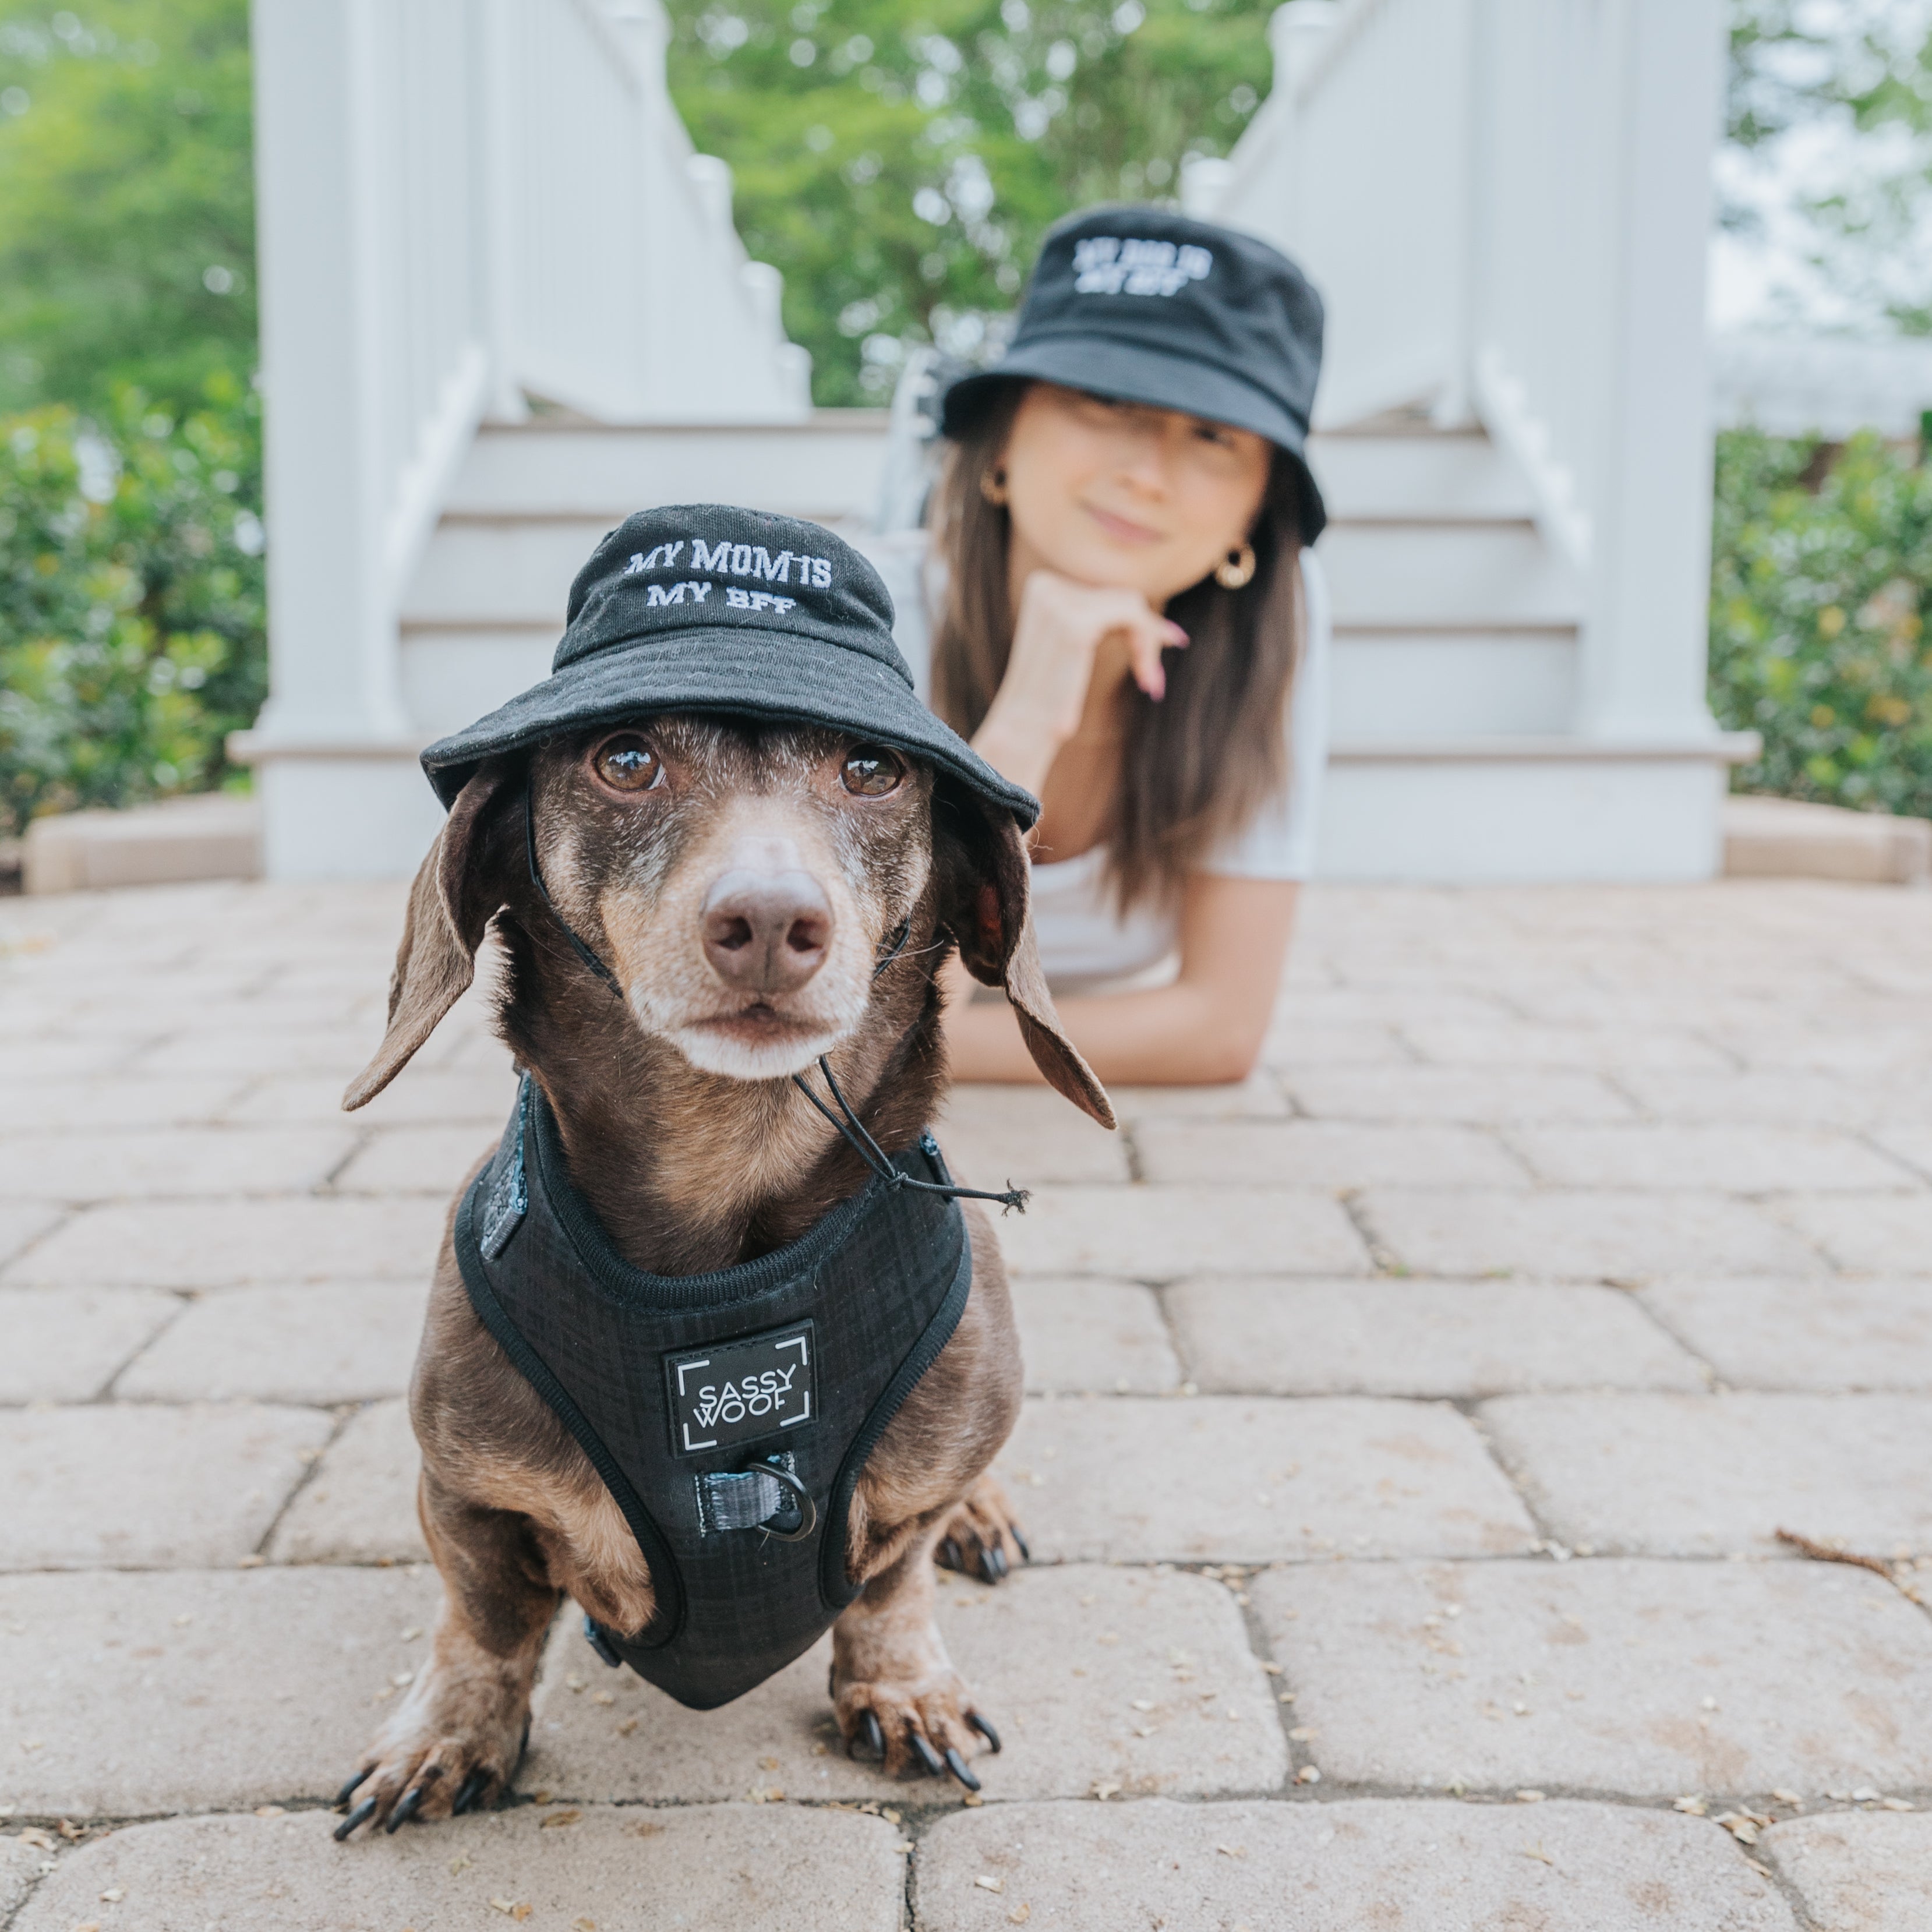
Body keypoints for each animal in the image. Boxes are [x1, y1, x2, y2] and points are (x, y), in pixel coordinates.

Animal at [330, 506, 1112, 1831]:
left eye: (873, 769)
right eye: (626, 757)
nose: (769, 923)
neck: (724, 1187)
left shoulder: (911, 1491)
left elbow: (891, 1580)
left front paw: (903, 1688)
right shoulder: (465, 1492)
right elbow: (481, 1622)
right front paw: (447, 1733)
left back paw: (985, 1513)